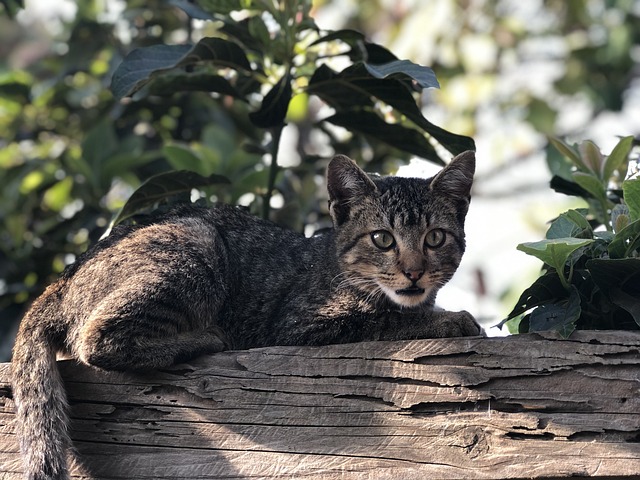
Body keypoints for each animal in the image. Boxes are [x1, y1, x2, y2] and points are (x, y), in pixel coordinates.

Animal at [10, 151, 480, 480]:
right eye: (382, 239)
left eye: (435, 238)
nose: (414, 272)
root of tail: (61, 281)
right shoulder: (300, 325)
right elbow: (385, 320)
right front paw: (451, 319)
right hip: (197, 245)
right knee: (95, 339)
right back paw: (202, 338)